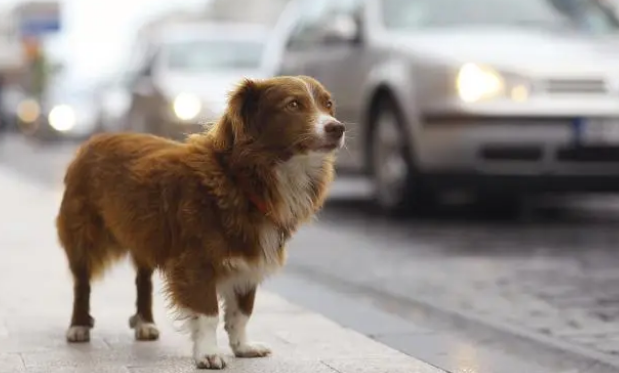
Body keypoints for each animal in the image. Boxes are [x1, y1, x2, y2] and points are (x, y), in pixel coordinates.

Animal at [55, 75, 346, 370]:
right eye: (293, 104)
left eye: (328, 105)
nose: (337, 127)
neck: (241, 180)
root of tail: (95, 139)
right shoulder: (197, 262)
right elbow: (208, 314)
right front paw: (207, 354)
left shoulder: (248, 261)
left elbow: (242, 312)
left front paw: (242, 347)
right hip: (84, 234)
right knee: (82, 283)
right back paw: (78, 326)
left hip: (144, 235)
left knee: (143, 281)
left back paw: (145, 324)